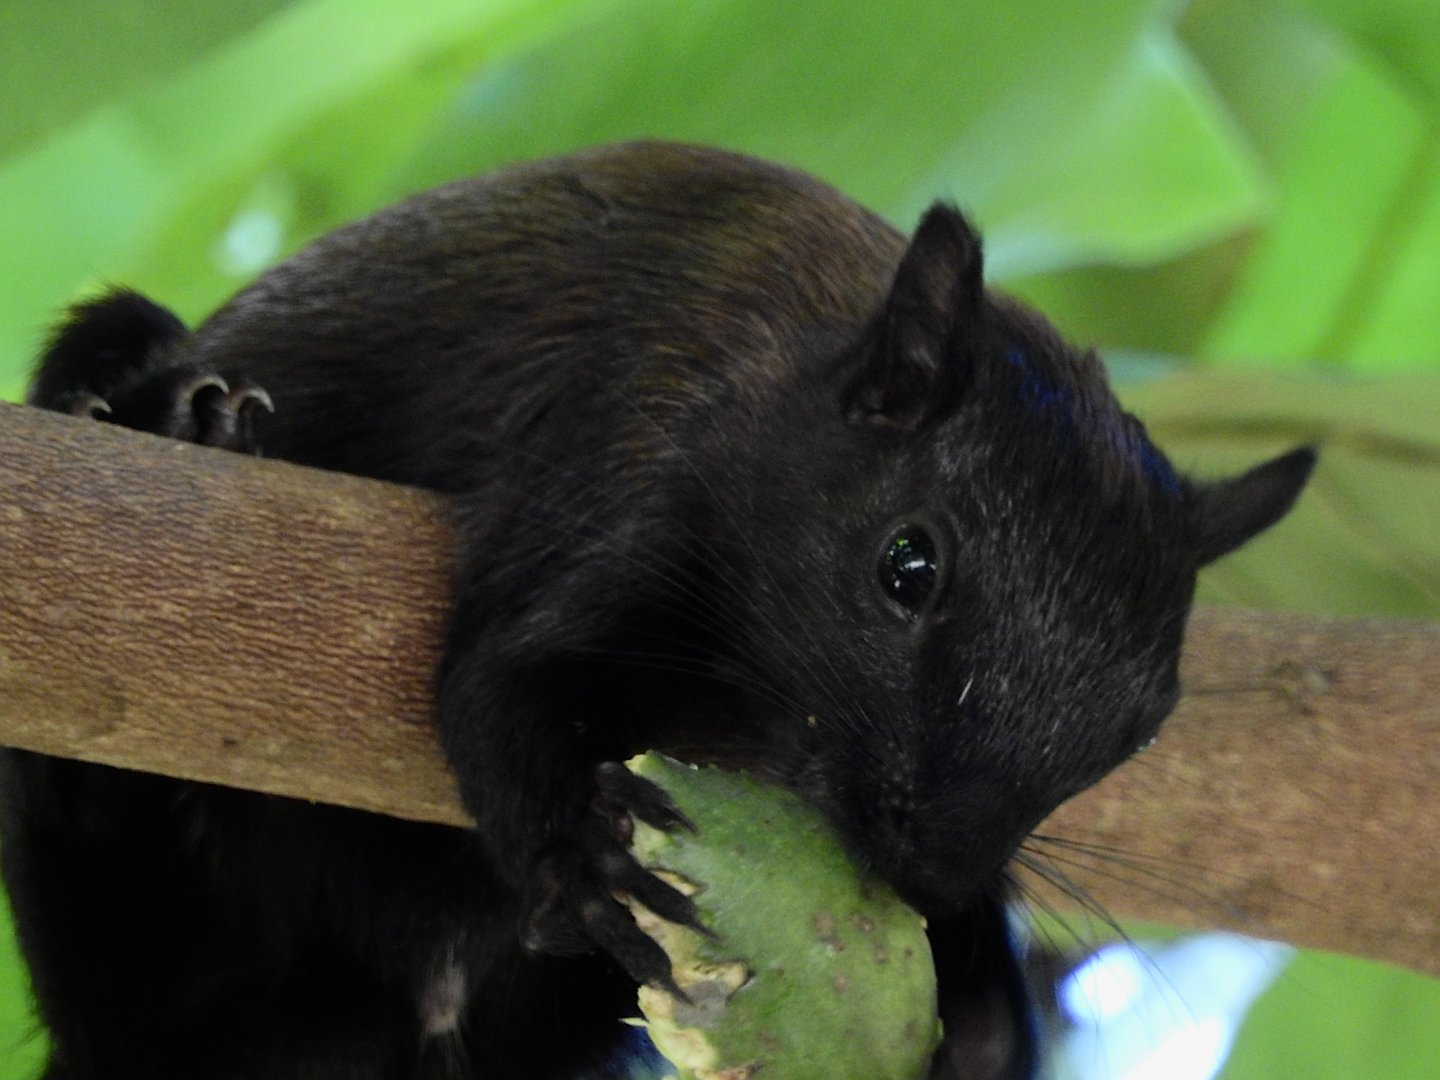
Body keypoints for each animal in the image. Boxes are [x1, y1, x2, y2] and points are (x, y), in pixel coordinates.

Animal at [0, 141, 1315, 1080]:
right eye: (908, 567)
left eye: (1143, 724)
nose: (938, 872)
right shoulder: (626, 449)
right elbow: (495, 691)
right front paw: (582, 865)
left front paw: (981, 994)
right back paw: (189, 424)